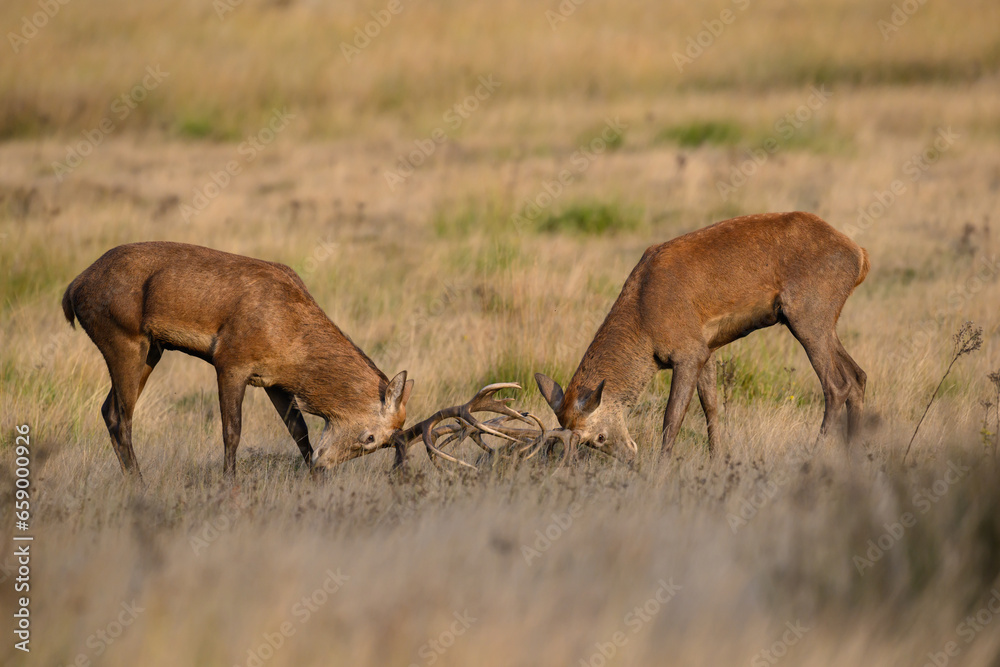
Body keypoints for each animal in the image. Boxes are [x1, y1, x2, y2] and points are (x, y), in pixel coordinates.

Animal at [62, 241, 414, 480]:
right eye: (370, 438)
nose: (323, 467)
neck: (291, 341)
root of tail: (73, 289)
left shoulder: (274, 381)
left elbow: (299, 431)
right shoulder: (230, 362)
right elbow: (232, 432)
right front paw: (229, 485)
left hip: (152, 351)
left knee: (107, 409)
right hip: (124, 341)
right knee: (121, 417)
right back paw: (140, 484)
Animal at [534, 211, 870, 464]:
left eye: (599, 436)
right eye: (589, 444)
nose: (630, 457)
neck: (643, 323)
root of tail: (860, 256)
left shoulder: (687, 351)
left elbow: (673, 417)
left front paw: (660, 471)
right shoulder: (707, 349)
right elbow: (711, 406)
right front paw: (716, 461)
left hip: (808, 316)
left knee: (836, 385)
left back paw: (813, 456)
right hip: (822, 323)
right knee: (858, 375)